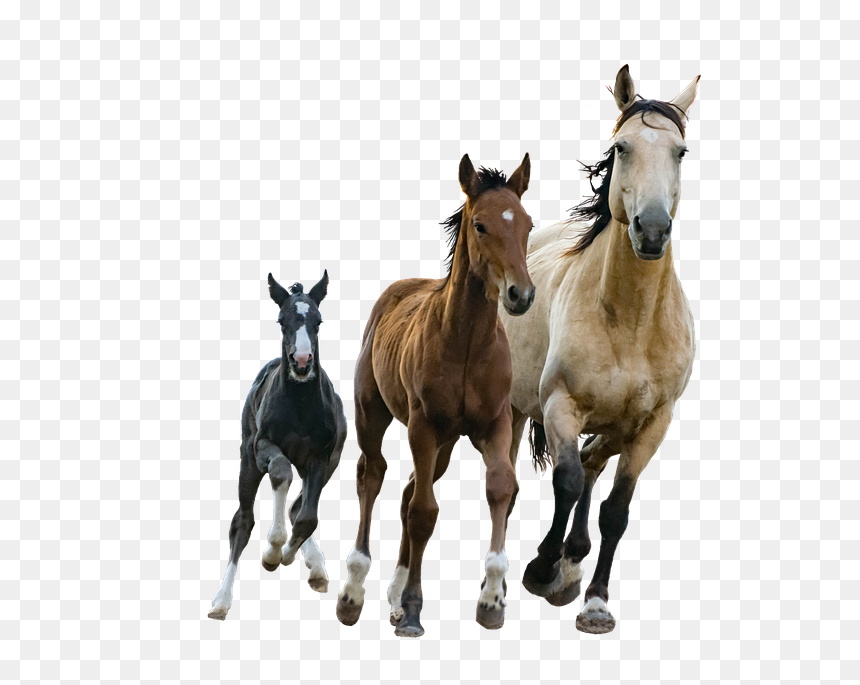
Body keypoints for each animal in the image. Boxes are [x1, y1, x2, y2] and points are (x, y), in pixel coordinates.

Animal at [208, 271, 347, 620]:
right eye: (282, 321)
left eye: (318, 320)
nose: (302, 361)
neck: (299, 405)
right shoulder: (262, 447)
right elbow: (281, 472)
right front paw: (273, 550)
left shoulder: (321, 458)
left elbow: (308, 517)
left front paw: (287, 553)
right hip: (247, 460)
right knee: (242, 521)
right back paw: (221, 600)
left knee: (299, 508)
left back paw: (316, 567)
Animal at [335, 154, 535, 637]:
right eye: (480, 225)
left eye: (527, 224)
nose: (520, 294)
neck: (465, 345)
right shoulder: (423, 425)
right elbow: (424, 512)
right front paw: (411, 608)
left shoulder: (495, 423)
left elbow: (501, 487)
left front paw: (491, 601)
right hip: (375, 414)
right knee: (373, 475)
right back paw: (353, 592)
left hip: (444, 444)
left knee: (408, 488)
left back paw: (391, 595)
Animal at [499, 65, 699, 634]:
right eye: (622, 147)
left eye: (680, 151)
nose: (652, 230)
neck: (630, 323)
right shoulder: (560, 404)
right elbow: (565, 481)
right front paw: (541, 568)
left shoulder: (652, 424)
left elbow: (616, 509)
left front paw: (594, 601)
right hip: (516, 409)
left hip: (615, 424)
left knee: (593, 461)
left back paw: (574, 559)